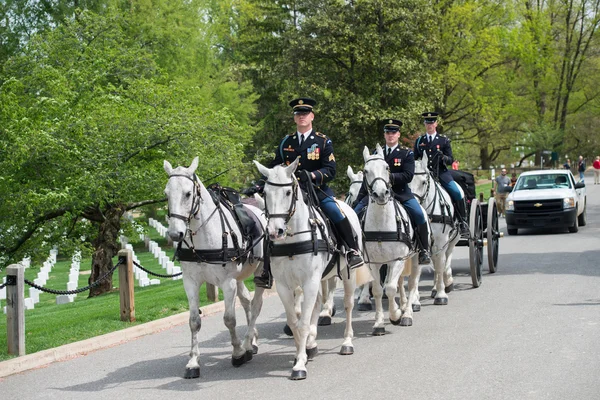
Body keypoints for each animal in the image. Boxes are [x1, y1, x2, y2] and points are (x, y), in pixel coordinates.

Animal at [164, 156, 268, 378]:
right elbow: (194, 321)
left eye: (188, 193)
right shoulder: (190, 282)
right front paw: (193, 362)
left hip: (260, 273)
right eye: (166, 194)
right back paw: (252, 340)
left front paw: (237, 353)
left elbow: (229, 319)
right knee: (246, 302)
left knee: (255, 305)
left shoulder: (228, 283)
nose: (175, 234)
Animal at [254, 158, 360, 380]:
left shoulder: (309, 281)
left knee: (348, 305)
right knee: (319, 303)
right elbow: (294, 321)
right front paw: (301, 353)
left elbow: (302, 322)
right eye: (265, 192)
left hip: (349, 274)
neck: (292, 240)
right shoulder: (285, 286)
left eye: (288, 192)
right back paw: (312, 343)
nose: (275, 231)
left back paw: (347, 342)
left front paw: (300, 366)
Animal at [358, 145, 424, 332]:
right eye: (366, 171)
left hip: (415, 258)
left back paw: (407, 313)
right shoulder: (373, 262)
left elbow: (390, 287)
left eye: (387, 167)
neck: (381, 224)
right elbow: (379, 290)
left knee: (412, 283)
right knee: (400, 282)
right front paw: (379, 323)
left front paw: (396, 315)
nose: (381, 194)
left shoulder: (398, 259)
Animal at [410, 152, 462, 304]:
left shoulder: (440, 240)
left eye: (423, 182)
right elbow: (418, 270)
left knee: (447, 256)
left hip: (453, 238)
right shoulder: (421, 242)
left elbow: (440, 265)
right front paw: (415, 297)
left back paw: (447, 281)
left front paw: (441, 294)